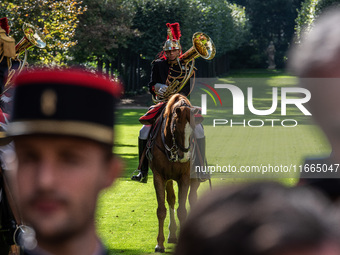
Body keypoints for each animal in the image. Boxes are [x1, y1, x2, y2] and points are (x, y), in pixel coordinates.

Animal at [148, 94, 202, 253]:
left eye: (193, 130)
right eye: (175, 127)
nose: (185, 157)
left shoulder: (184, 177)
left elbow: (182, 210)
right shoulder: (159, 177)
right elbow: (161, 210)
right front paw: (160, 243)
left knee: (192, 198)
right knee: (171, 199)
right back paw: (172, 234)